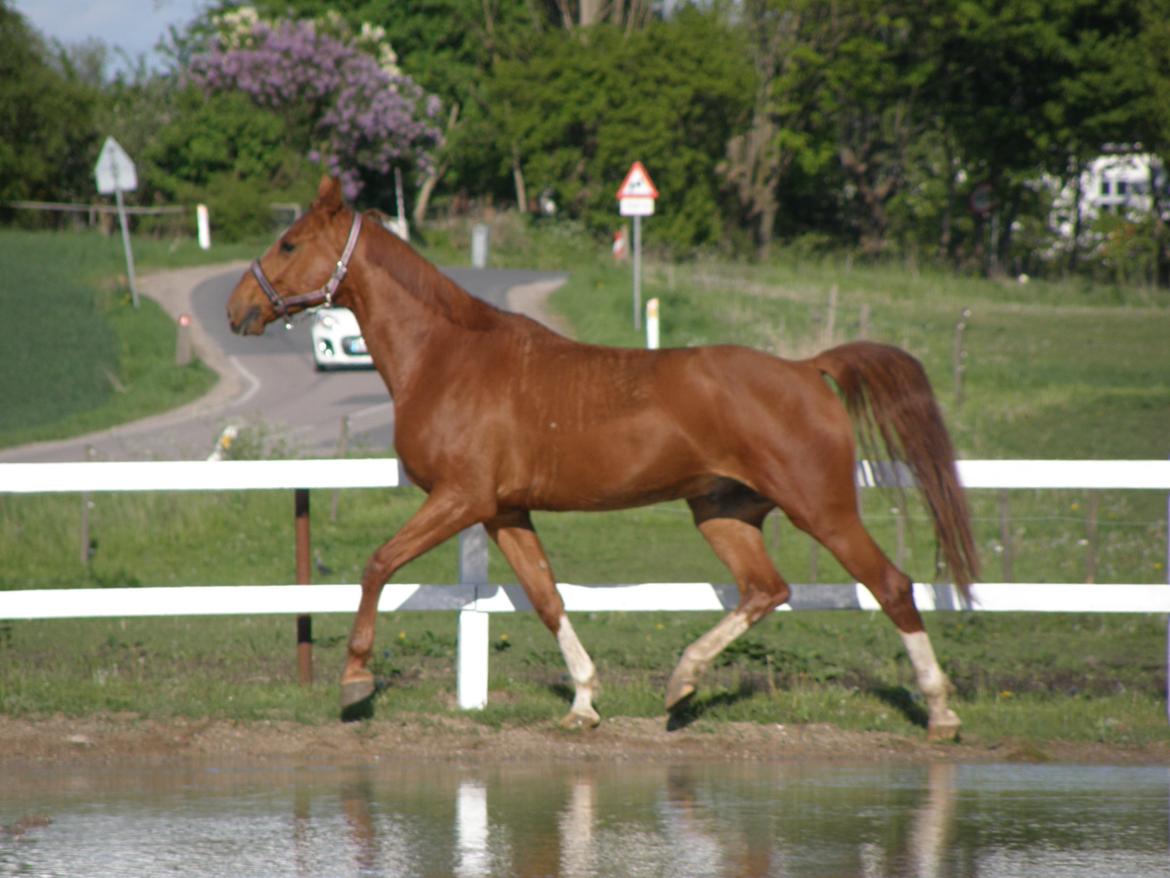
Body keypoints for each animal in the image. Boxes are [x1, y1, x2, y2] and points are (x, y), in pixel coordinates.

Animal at [228, 175, 978, 739]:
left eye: (289, 242)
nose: (239, 307)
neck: (448, 357)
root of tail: (805, 368)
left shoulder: (460, 498)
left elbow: (378, 563)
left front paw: (355, 681)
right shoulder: (503, 511)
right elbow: (545, 596)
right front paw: (584, 702)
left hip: (820, 508)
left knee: (892, 586)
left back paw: (940, 711)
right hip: (723, 513)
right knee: (767, 589)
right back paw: (681, 684)